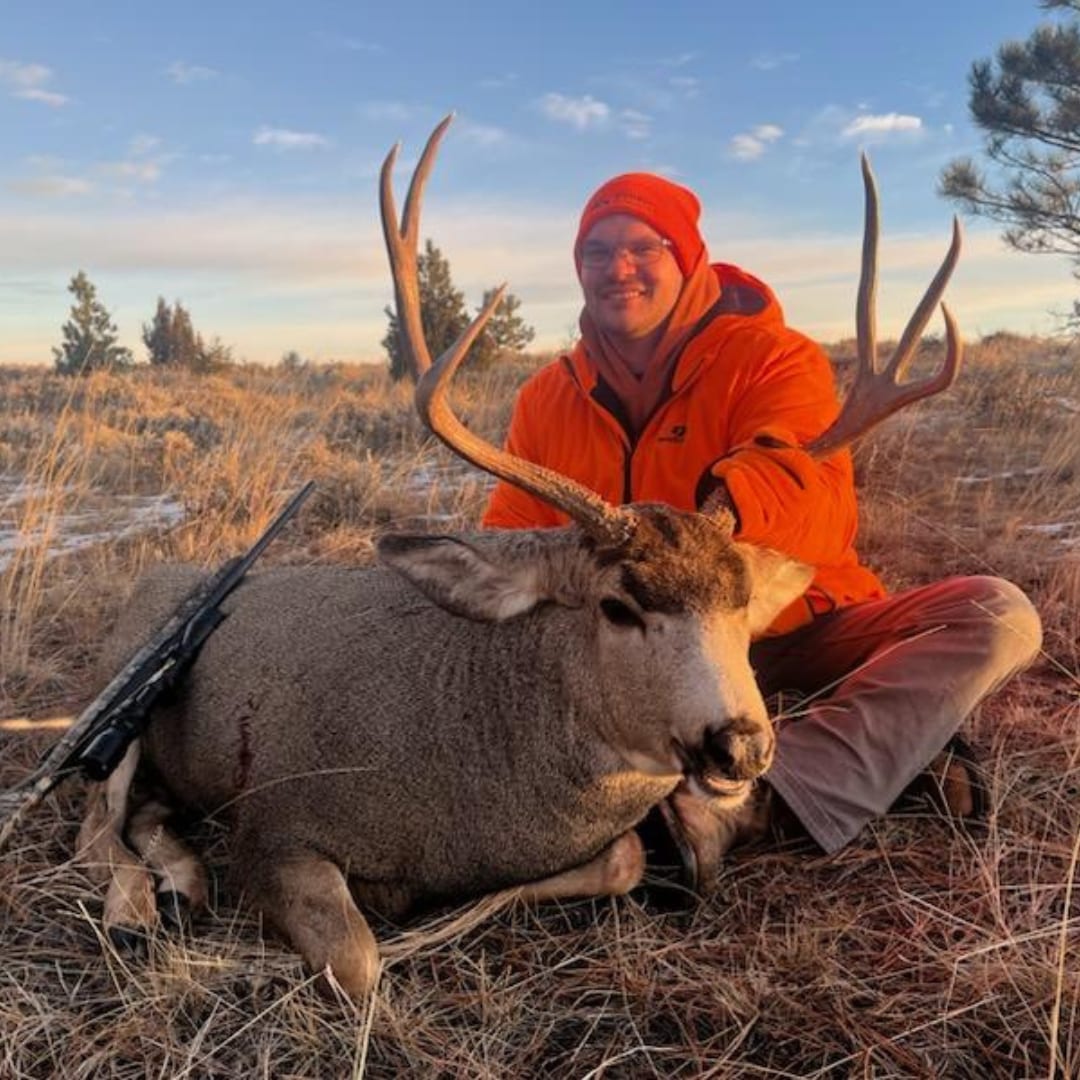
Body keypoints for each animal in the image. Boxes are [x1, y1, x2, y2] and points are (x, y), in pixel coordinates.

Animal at [76, 117, 961, 1003]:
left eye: (744, 603)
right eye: (617, 605)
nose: (739, 745)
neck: (471, 756)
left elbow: (623, 858)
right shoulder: (275, 820)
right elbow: (360, 961)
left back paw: (182, 879)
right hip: (119, 700)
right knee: (97, 819)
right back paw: (137, 910)